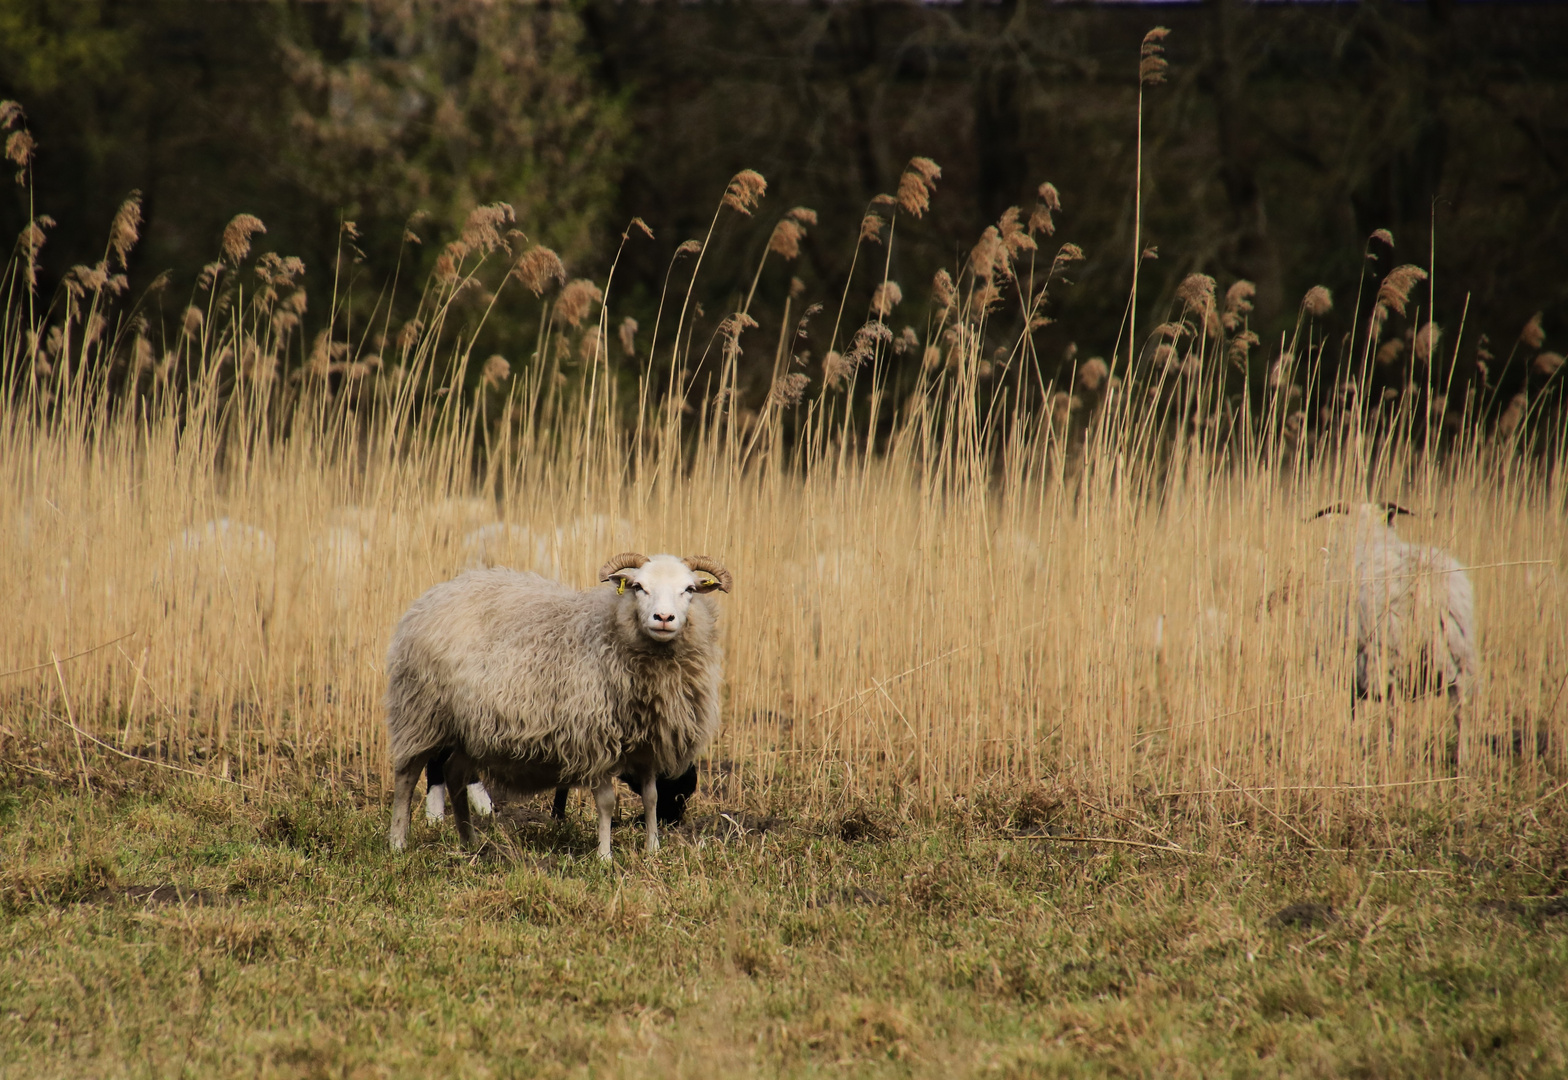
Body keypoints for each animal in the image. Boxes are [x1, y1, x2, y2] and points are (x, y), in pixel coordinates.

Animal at [382, 551, 730, 852]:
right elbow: (606, 802)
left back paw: (469, 841)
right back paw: (398, 842)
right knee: (407, 775)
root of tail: (433, 595)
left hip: (468, 727)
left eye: (689, 589)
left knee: (454, 773)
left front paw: (652, 850)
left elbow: (651, 797)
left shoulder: (646, 744)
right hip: (420, 712)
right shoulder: (596, 738)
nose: (664, 618)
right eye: (638, 587)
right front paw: (604, 856)